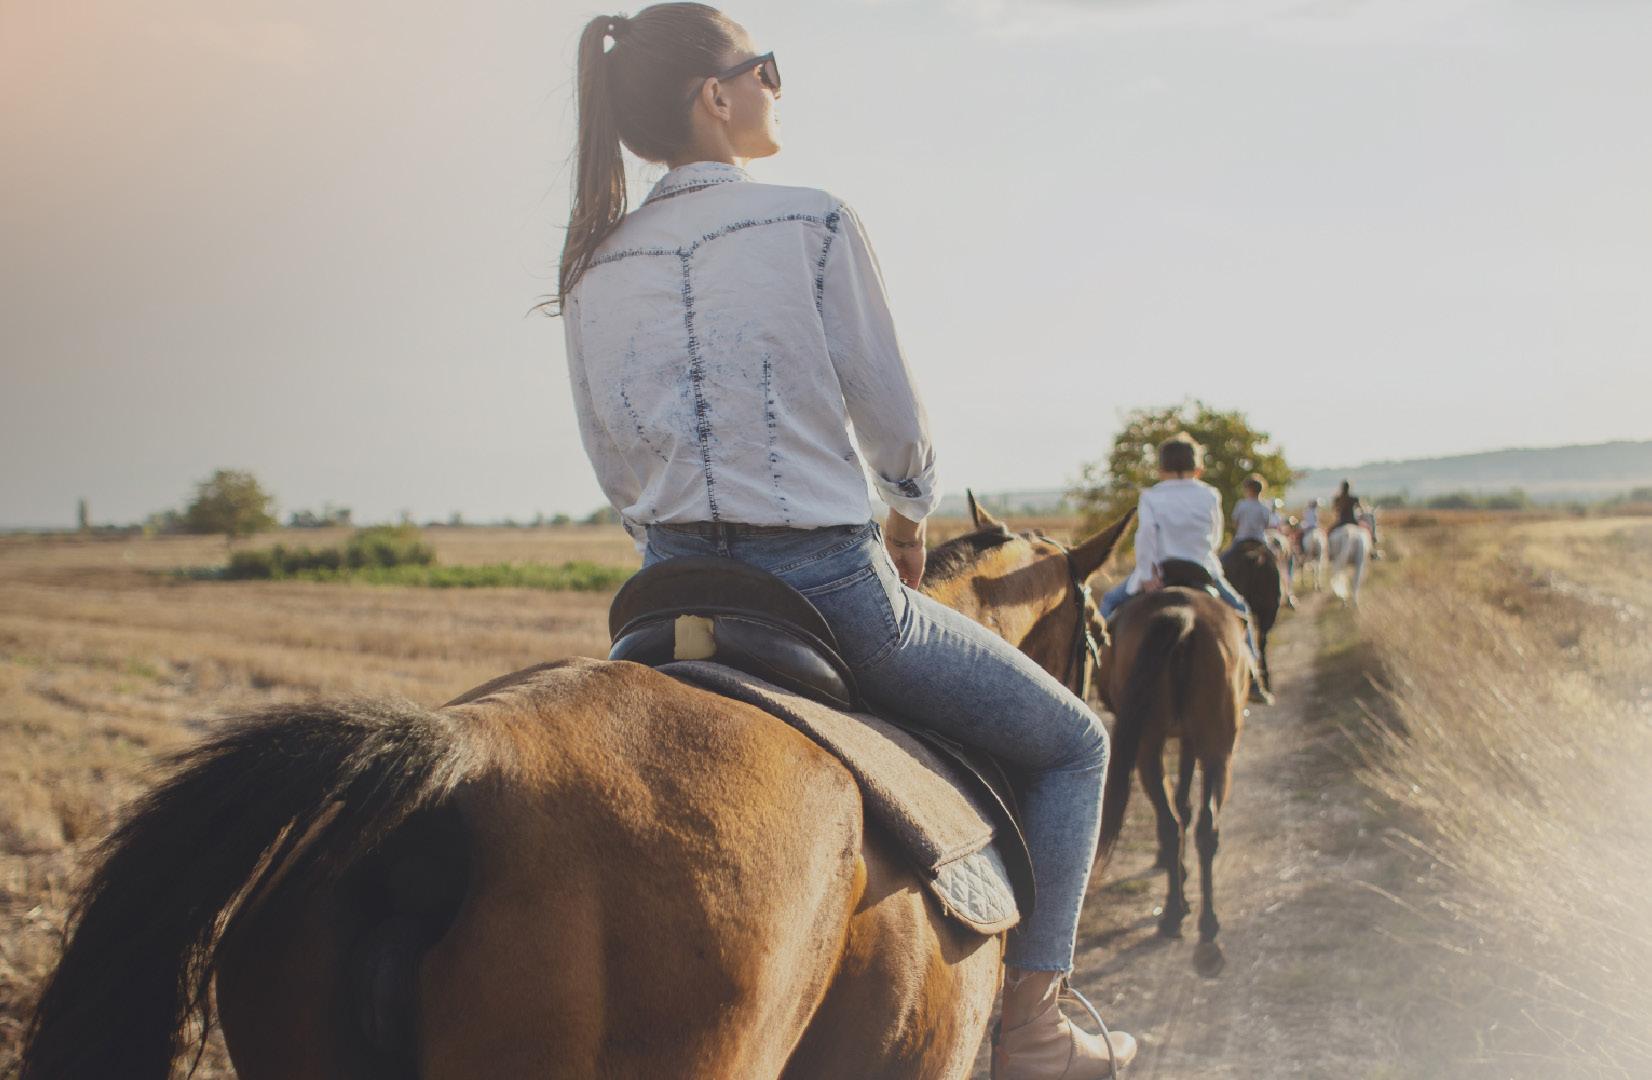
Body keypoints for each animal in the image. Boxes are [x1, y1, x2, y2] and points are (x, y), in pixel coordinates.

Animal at [1094, 561, 1250, 979]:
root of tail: (1185, 616)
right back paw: (1198, 927)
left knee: (1181, 822)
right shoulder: (1191, 740)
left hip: (1161, 745)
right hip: (1212, 748)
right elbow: (1185, 804)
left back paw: (1184, 918)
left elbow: (1181, 804)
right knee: (1198, 826)